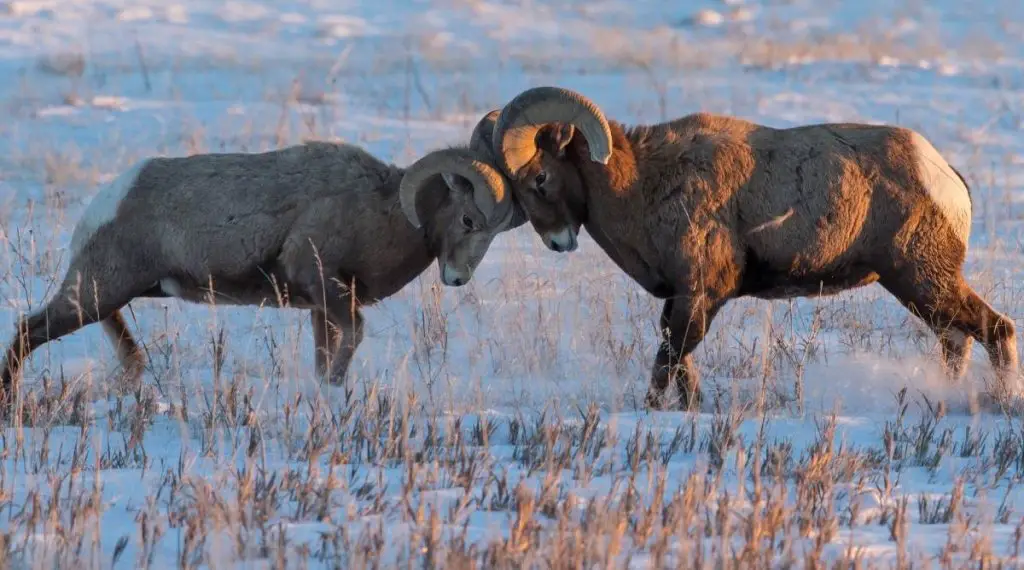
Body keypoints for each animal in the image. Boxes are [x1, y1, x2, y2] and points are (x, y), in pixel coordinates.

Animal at [0, 121, 524, 409]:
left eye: (498, 230)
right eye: (468, 219)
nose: (457, 278)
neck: (381, 211)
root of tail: (107, 200)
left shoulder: (320, 309)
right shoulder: (325, 284)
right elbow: (352, 339)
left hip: (109, 294)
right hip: (93, 294)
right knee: (28, 332)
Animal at [483, 84, 1019, 409]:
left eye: (540, 177)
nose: (557, 242)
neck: (641, 185)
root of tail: (944, 175)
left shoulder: (700, 296)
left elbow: (667, 364)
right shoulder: (681, 301)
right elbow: (681, 368)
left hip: (921, 279)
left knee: (996, 330)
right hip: (920, 289)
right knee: (956, 341)